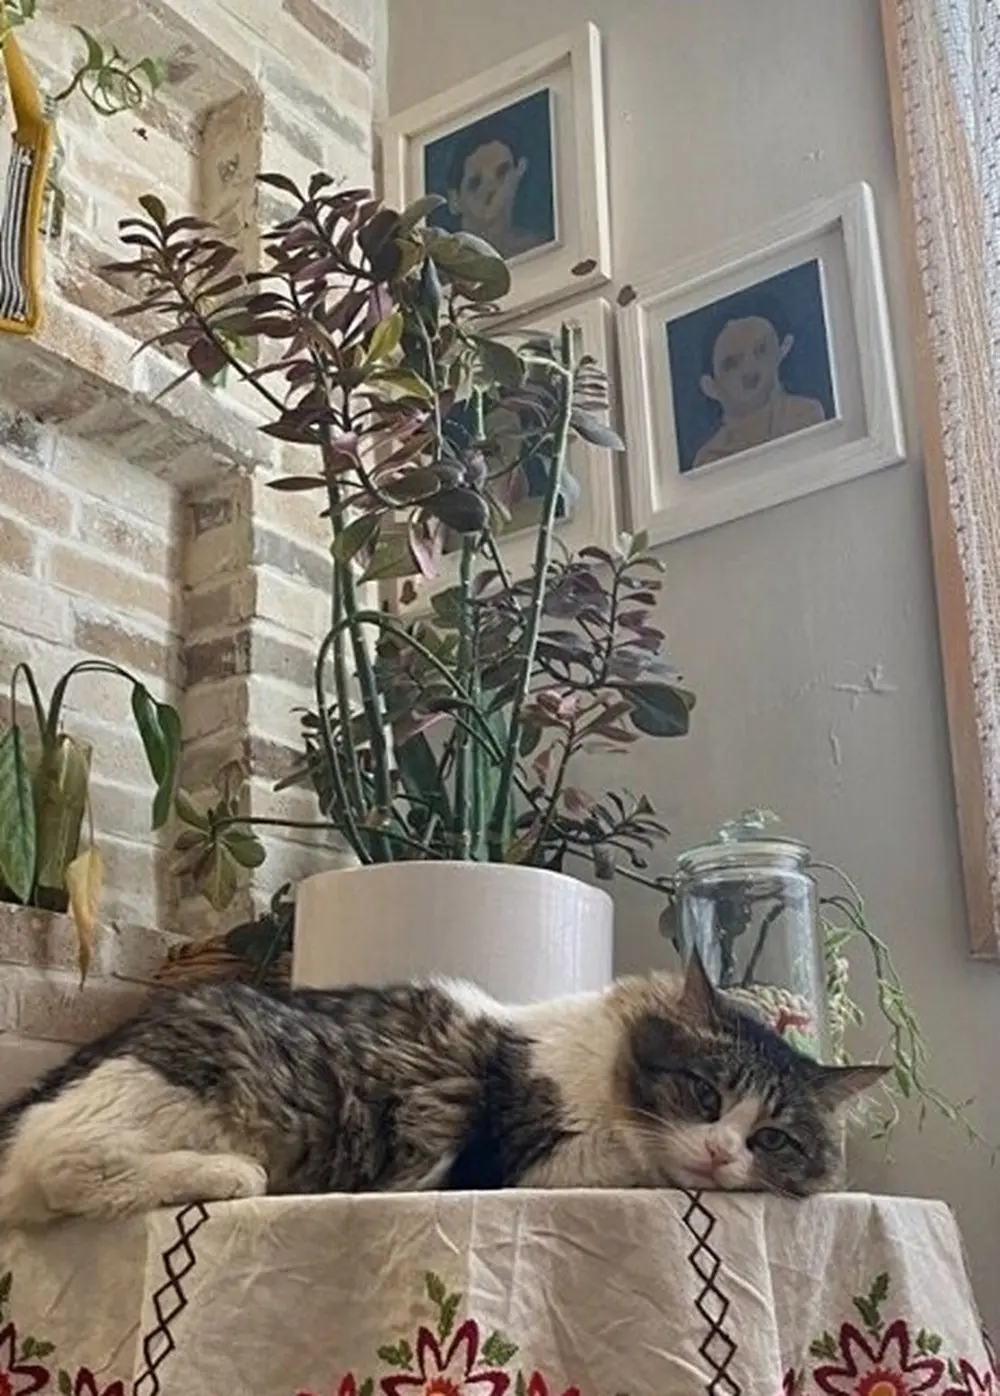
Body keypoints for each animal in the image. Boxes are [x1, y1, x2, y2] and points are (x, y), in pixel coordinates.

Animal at [0, 953, 886, 1227]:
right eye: (705, 1097)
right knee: (61, 1165)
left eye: (772, 1137)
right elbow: (642, 1163)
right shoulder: (525, 1158)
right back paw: (227, 1178)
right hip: (206, 1078)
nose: (720, 1153)